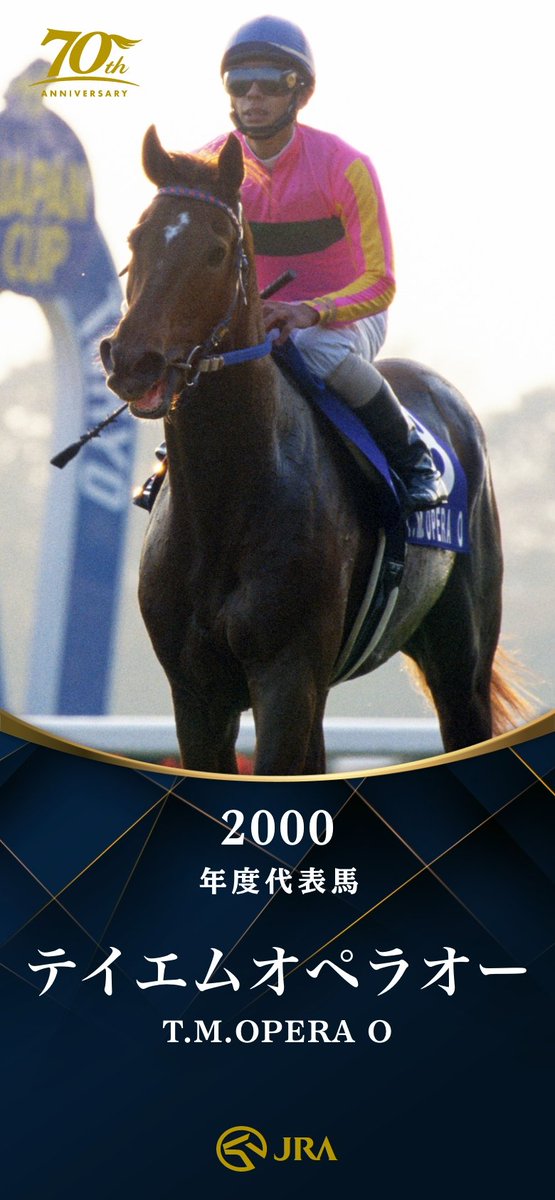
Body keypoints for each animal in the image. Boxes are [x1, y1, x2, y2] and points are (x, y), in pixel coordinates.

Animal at [100, 125, 528, 776]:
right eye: (136, 238)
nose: (132, 361)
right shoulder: (197, 691)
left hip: (462, 663)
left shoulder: (286, 676)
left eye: (216, 251)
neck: (227, 499)